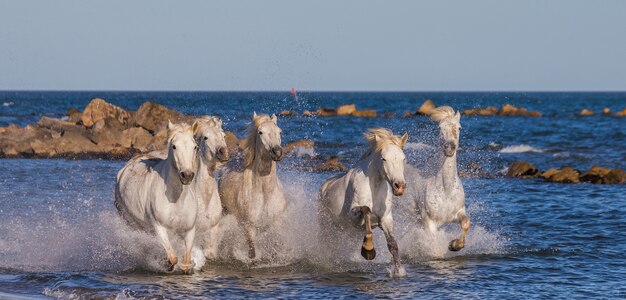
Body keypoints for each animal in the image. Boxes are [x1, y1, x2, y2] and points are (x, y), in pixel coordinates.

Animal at [113, 120, 197, 274]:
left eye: (195, 147)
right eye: (174, 146)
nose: (187, 175)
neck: (175, 200)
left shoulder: (189, 231)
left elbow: (186, 263)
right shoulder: (159, 227)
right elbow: (173, 258)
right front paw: (166, 265)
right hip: (132, 224)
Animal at [218, 113, 284, 258]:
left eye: (280, 132)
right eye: (260, 132)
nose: (277, 152)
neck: (265, 193)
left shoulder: (276, 223)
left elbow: (277, 247)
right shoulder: (249, 226)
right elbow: (252, 253)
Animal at [320, 127, 408, 278]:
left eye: (403, 158)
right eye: (384, 158)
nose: (399, 186)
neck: (374, 187)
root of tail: (324, 186)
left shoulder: (385, 219)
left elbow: (392, 245)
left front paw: (398, 271)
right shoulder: (353, 216)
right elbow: (366, 210)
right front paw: (368, 250)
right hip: (327, 227)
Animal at [404, 106, 468, 252]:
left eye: (459, 127)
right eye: (440, 127)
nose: (449, 148)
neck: (446, 190)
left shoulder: (459, 212)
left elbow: (466, 224)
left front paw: (454, 245)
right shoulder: (430, 222)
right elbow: (435, 247)